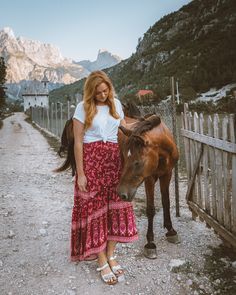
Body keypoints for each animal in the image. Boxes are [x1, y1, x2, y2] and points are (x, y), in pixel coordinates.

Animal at [54, 107, 179, 260]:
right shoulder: (149, 178)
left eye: (137, 162)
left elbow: (166, 202)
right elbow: (150, 209)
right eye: (125, 156)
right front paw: (150, 243)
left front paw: (171, 230)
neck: (163, 153)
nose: (122, 193)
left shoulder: (167, 174)